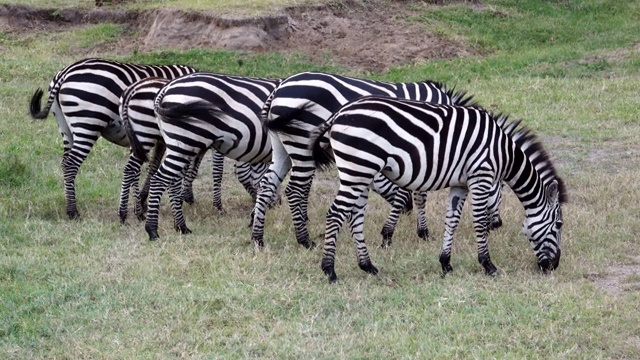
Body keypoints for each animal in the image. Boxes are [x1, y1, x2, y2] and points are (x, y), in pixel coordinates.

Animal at [29, 57, 198, 219]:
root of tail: (66, 72)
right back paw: (73, 212)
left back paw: (69, 207)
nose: (189, 199)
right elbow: (163, 167)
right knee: (71, 164)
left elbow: (152, 167)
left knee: (65, 163)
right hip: (88, 123)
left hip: (65, 127)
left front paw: (142, 201)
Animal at [117, 76, 268, 225]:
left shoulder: (197, 146)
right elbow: (217, 172)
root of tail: (133, 88)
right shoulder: (216, 145)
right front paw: (217, 206)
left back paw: (137, 208)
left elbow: (190, 172)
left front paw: (184, 198)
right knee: (132, 169)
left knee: (135, 169)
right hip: (147, 135)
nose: (273, 204)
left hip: (141, 139)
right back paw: (129, 213)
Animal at [144, 71, 280, 240]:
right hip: (185, 141)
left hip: (180, 145)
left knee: (173, 182)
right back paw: (152, 230)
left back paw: (181, 226)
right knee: (159, 180)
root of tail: (165, 89)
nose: (277, 204)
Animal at [256, 70, 504, 250]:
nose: (497, 225)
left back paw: (258, 238)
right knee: (295, 190)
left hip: (282, 145)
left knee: (267, 183)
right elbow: (419, 192)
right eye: (499, 184)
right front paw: (418, 232)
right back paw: (304, 240)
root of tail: (278, 89)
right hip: (302, 144)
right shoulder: (425, 148)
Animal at [308, 95, 564, 282]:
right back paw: (330, 270)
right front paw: (488, 265)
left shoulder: (460, 184)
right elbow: (479, 222)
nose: (553, 267)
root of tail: (339, 113)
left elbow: (451, 220)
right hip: (359, 169)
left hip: (360, 173)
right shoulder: (481, 176)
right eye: (559, 225)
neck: (503, 153)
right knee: (336, 214)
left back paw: (368, 266)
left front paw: (445, 263)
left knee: (355, 217)